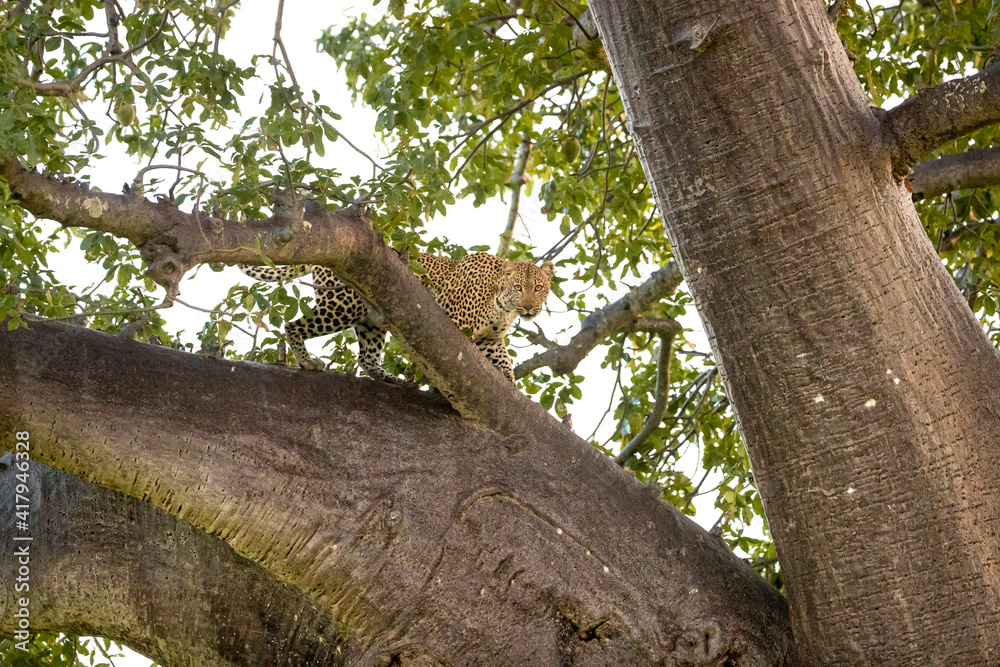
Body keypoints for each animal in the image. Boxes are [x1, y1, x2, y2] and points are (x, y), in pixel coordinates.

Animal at [240, 252, 554, 384]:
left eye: (538, 288)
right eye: (519, 288)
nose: (529, 309)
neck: (502, 302)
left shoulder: (491, 338)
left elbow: (505, 361)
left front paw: (510, 383)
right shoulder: (453, 322)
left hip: (369, 320)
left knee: (366, 356)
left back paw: (389, 378)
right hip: (342, 306)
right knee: (293, 325)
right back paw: (307, 362)